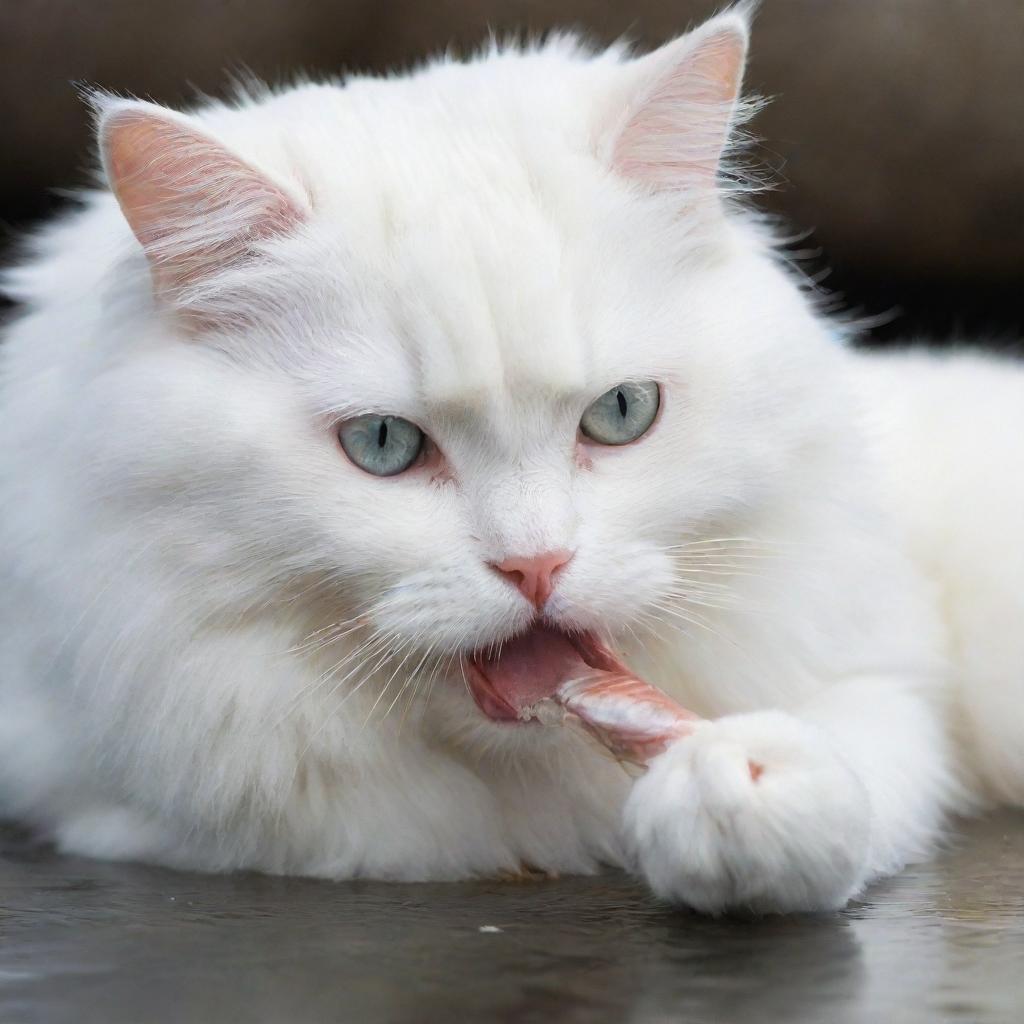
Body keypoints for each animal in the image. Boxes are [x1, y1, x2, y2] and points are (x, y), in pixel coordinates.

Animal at [2, 4, 1024, 917]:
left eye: (621, 413)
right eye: (383, 445)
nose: (536, 567)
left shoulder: (881, 672)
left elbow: (853, 765)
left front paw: (735, 789)